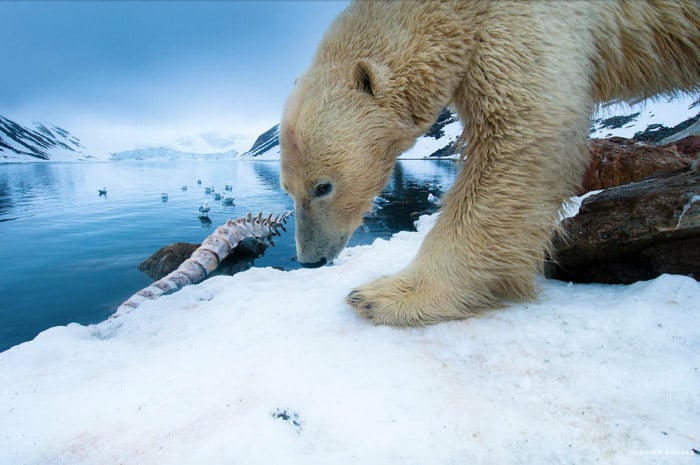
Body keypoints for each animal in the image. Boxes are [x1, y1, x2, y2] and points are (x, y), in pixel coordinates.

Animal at [279, 0, 700, 326]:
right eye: (288, 189)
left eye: (323, 186)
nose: (310, 260)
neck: (452, 8)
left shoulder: (525, 17)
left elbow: (520, 133)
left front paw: (385, 296)